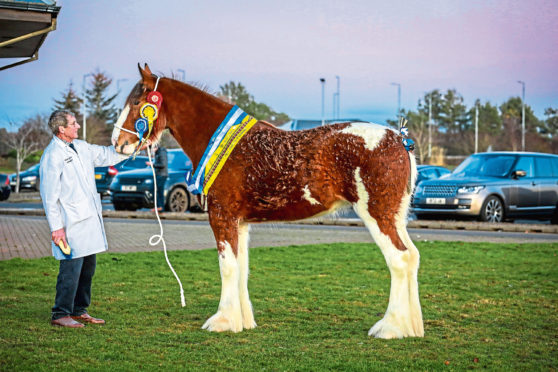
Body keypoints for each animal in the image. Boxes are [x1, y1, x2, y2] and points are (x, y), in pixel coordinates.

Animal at [112, 64, 424, 340]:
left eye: (138, 101)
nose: (118, 142)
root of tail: (399, 139)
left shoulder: (222, 216)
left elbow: (227, 267)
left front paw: (222, 321)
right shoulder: (240, 223)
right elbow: (241, 268)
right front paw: (242, 321)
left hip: (376, 215)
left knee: (399, 259)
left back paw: (390, 328)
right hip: (396, 217)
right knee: (412, 257)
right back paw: (412, 328)